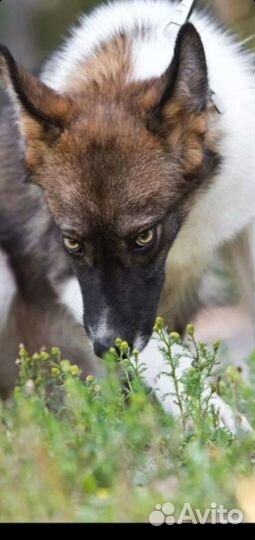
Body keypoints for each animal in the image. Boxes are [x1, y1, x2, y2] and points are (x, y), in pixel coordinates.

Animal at [0, 2, 254, 428]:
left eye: (143, 236)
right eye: (72, 241)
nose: (106, 349)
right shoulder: (65, 273)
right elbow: (171, 368)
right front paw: (221, 428)